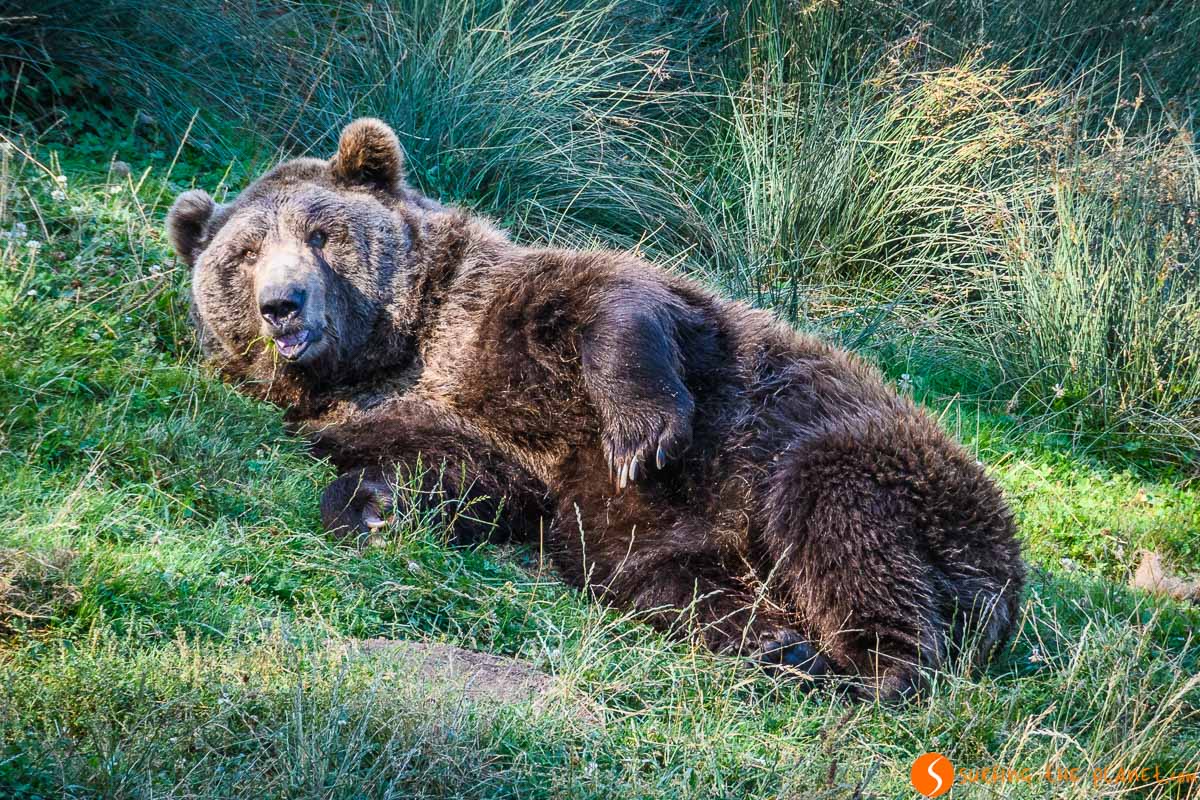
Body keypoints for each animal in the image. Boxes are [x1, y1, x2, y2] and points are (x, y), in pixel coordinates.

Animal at [167, 117, 1025, 700]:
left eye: (321, 232)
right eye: (244, 254)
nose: (282, 305)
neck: (403, 350)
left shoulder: (507, 310)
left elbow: (615, 300)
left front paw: (641, 435)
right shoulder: (417, 415)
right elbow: (463, 472)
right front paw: (372, 507)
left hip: (873, 459)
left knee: (841, 521)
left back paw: (872, 670)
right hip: (671, 543)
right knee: (670, 581)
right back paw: (780, 647)